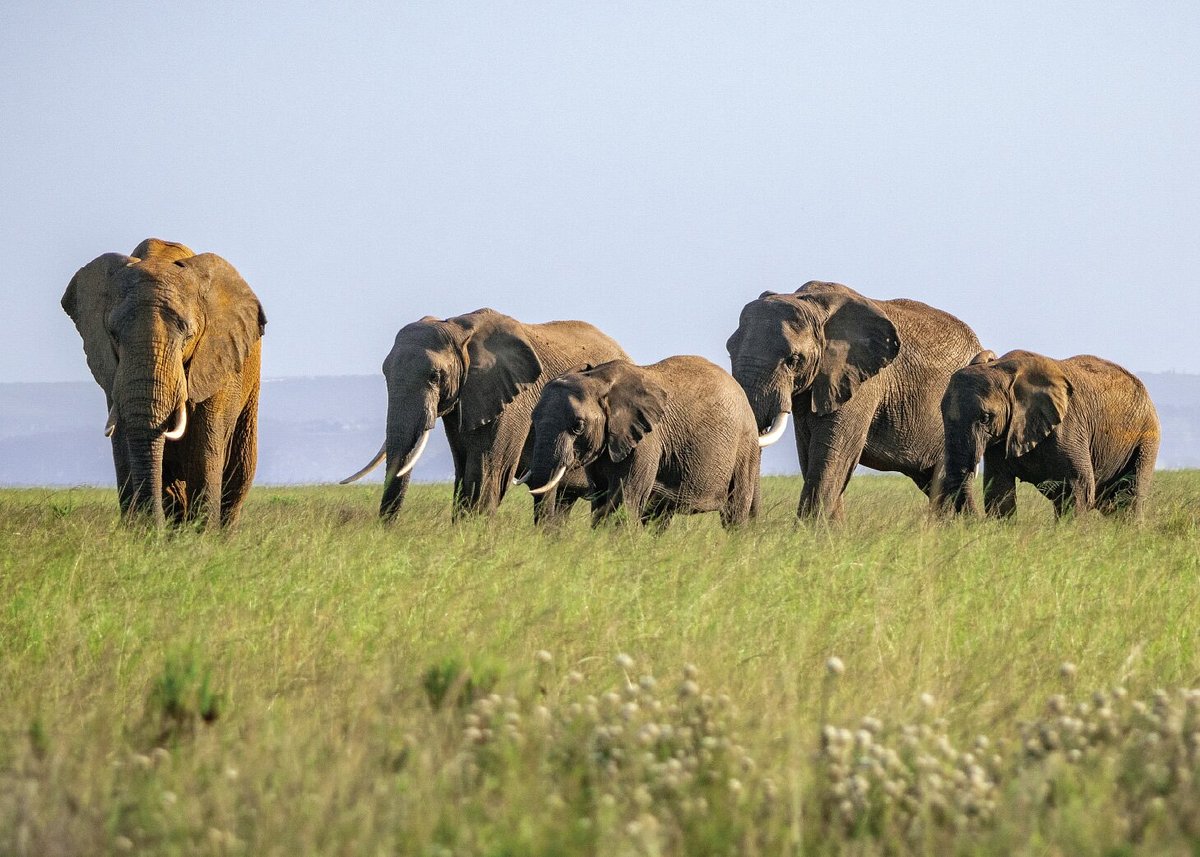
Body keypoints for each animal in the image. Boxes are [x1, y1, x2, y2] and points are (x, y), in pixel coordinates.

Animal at [61, 238, 267, 528]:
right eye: (113, 335)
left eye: (188, 335)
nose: (150, 528)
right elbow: (126, 449)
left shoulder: (217, 366)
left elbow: (203, 455)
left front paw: (201, 536)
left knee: (237, 478)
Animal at [342, 308, 629, 522]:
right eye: (385, 373)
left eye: (434, 376)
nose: (387, 530)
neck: (458, 328)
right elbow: (463, 469)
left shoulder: (514, 399)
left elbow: (486, 471)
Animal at [522, 356, 761, 529]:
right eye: (533, 420)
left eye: (578, 426)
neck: (599, 379)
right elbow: (601, 500)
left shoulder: (646, 441)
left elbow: (625, 501)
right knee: (660, 518)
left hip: (745, 447)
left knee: (735, 513)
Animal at [726, 281, 982, 519]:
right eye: (729, 350)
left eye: (794, 360)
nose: (752, 524)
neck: (813, 303)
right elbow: (809, 454)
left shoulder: (860, 382)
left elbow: (833, 456)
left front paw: (809, 532)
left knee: (946, 483)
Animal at [940, 349, 1159, 518]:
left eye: (985, 417)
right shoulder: (1002, 438)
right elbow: (998, 490)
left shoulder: (1067, 427)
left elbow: (1078, 488)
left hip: (1146, 438)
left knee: (1129, 499)